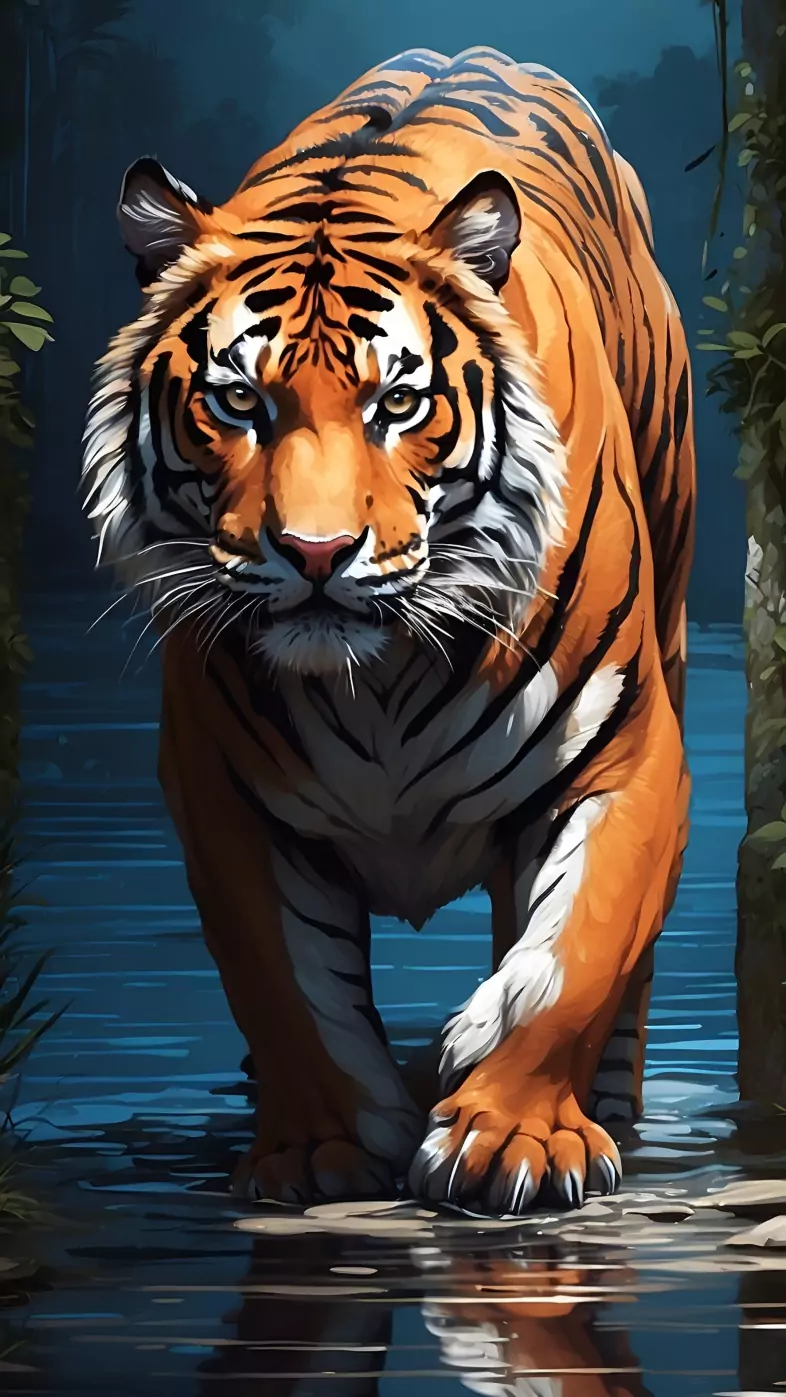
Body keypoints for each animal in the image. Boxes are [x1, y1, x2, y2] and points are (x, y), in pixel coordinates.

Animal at [82, 46, 694, 1215]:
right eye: (240, 403)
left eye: (396, 405)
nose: (317, 553)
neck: (378, 678)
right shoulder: (224, 792)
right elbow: (284, 984)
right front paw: (322, 1150)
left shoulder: (626, 750)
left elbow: (574, 956)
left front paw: (510, 1135)